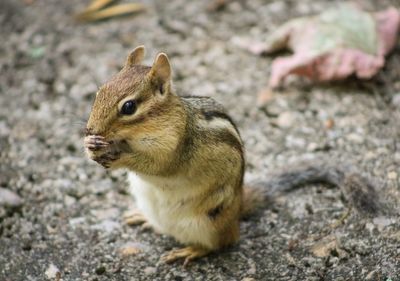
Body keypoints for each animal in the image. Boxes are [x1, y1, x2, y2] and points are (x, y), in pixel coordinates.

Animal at [83, 45, 382, 264]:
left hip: (208, 223)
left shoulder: (174, 146)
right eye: (99, 91)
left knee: (220, 244)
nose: (90, 128)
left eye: (129, 107)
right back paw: (144, 219)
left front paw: (118, 156)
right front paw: (90, 145)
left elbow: (156, 165)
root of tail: (237, 212)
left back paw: (190, 250)